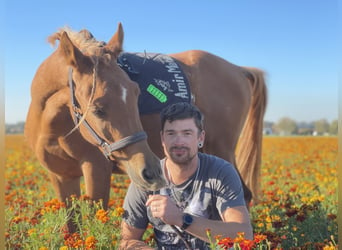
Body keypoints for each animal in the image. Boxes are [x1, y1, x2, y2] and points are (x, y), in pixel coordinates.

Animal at [25, 23, 268, 232]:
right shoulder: (61, 177)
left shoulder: (97, 171)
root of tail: (238, 69)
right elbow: (72, 227)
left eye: (136, 94)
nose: (151, 171)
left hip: (221, 151)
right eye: (97, 108)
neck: (57, 128)